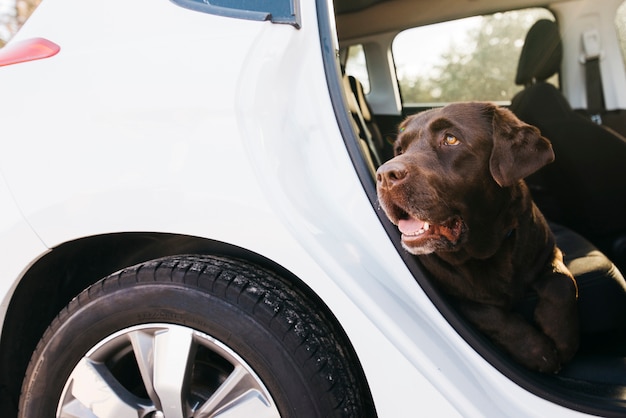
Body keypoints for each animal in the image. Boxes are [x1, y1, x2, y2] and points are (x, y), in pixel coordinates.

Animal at [376, 102, 576, 372]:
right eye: (400, 149)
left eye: (451, 139)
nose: (384, 175)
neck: (487, 248)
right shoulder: (456, 299)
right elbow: (492, 316)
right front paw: (538, 352)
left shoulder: (548, 249)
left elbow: (562, 282)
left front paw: (562, 337)